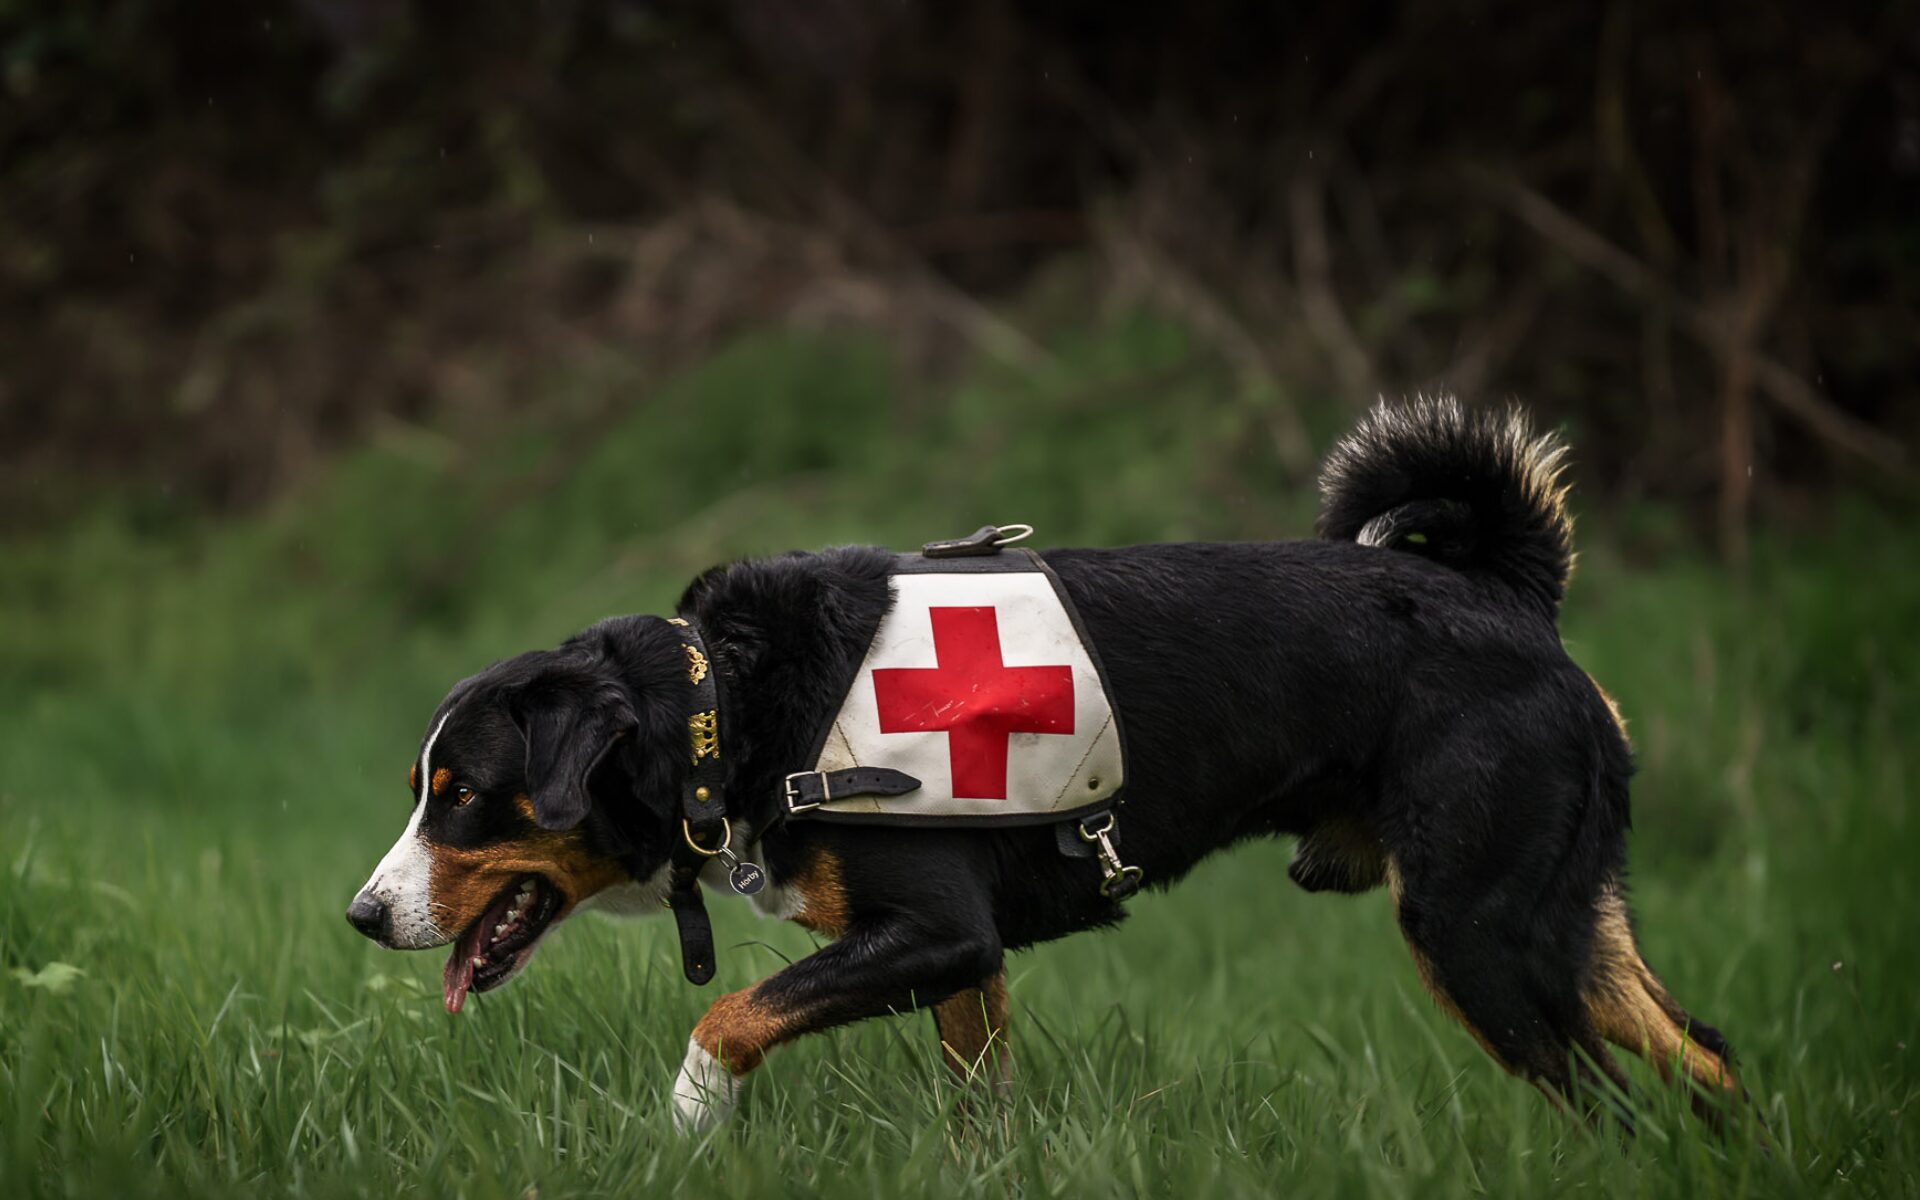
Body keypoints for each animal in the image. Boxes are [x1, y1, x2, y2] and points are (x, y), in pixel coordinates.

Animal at [341, 399, 1743, 1128]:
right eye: (423, 793)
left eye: (462, 797)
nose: (360, 914)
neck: (727, 712)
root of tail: (1511, 597)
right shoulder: (968, 971)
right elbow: (980, 1113)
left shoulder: (937, 934)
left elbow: (725, 1017)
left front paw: (690, 1125)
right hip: (1565, 927)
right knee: (1706, 1063)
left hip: (1475, 933)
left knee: (1612, 1105)